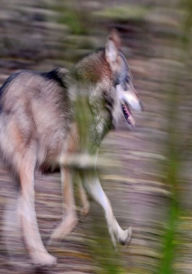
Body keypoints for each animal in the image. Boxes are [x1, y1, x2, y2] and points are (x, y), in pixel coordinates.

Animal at [0, 30, 142, 266]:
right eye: (128, 82)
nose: (142, 106)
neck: (94, 97)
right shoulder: (67, 162)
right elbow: (73, 214)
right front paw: (58, 235)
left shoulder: (86, 170)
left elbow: (107, 204)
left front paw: (120, 236)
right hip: (28, 169)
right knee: (25, 213)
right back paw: (41, 257)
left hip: (19, 177)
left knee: (15, 214)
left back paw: (20, 258)